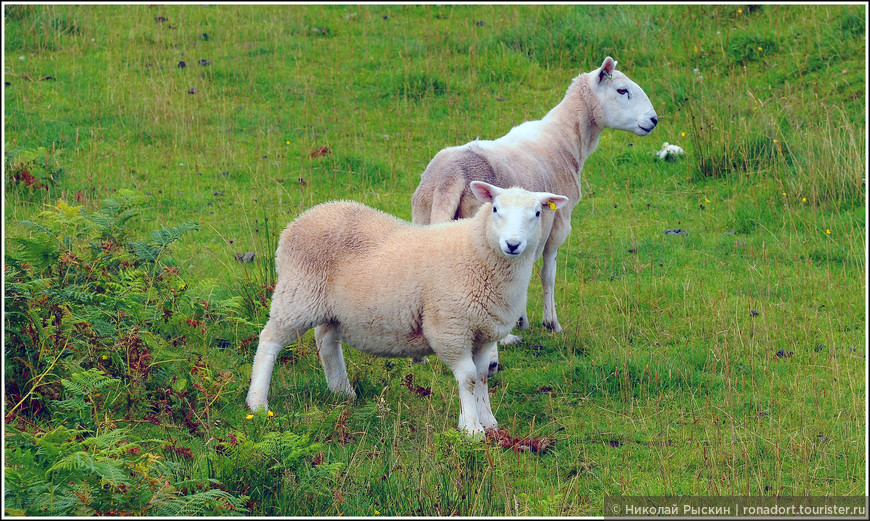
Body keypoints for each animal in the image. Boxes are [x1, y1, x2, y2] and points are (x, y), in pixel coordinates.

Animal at [245, 181, 572, 432]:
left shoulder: (482, 332)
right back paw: (258, 403)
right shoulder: (450, 327)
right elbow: (467, 377)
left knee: (326, 340)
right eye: (495, 210)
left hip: (332, 307)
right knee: (270, 341)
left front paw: (488, 421)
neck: (476, 252)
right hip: (298, 294)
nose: (513, 244)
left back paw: (343, 391)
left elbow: (480, 377)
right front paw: (471, 429)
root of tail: (305, 217)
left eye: (537, 213)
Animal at [412, 57, 656, 372]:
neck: (568, 138)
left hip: (421, 218)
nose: (654, 120)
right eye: (622, 90)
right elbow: (547, 274)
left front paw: (521, 320)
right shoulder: (558, 225)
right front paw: (551, 323)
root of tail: (448, 177)